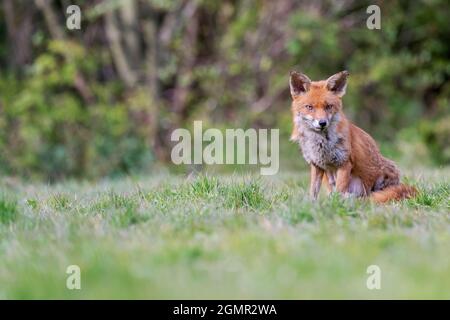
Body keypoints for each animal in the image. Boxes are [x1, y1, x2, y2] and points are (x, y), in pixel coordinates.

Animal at [290, 71, 416, 204]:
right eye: (309, 107)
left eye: (328, 106)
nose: (322, 123)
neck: (321, 143)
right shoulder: (316, 165)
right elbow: (313, 191)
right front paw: (312, 205)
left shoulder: (344, 162)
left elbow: (339, 191)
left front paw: (335, 205)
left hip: (386, 171)